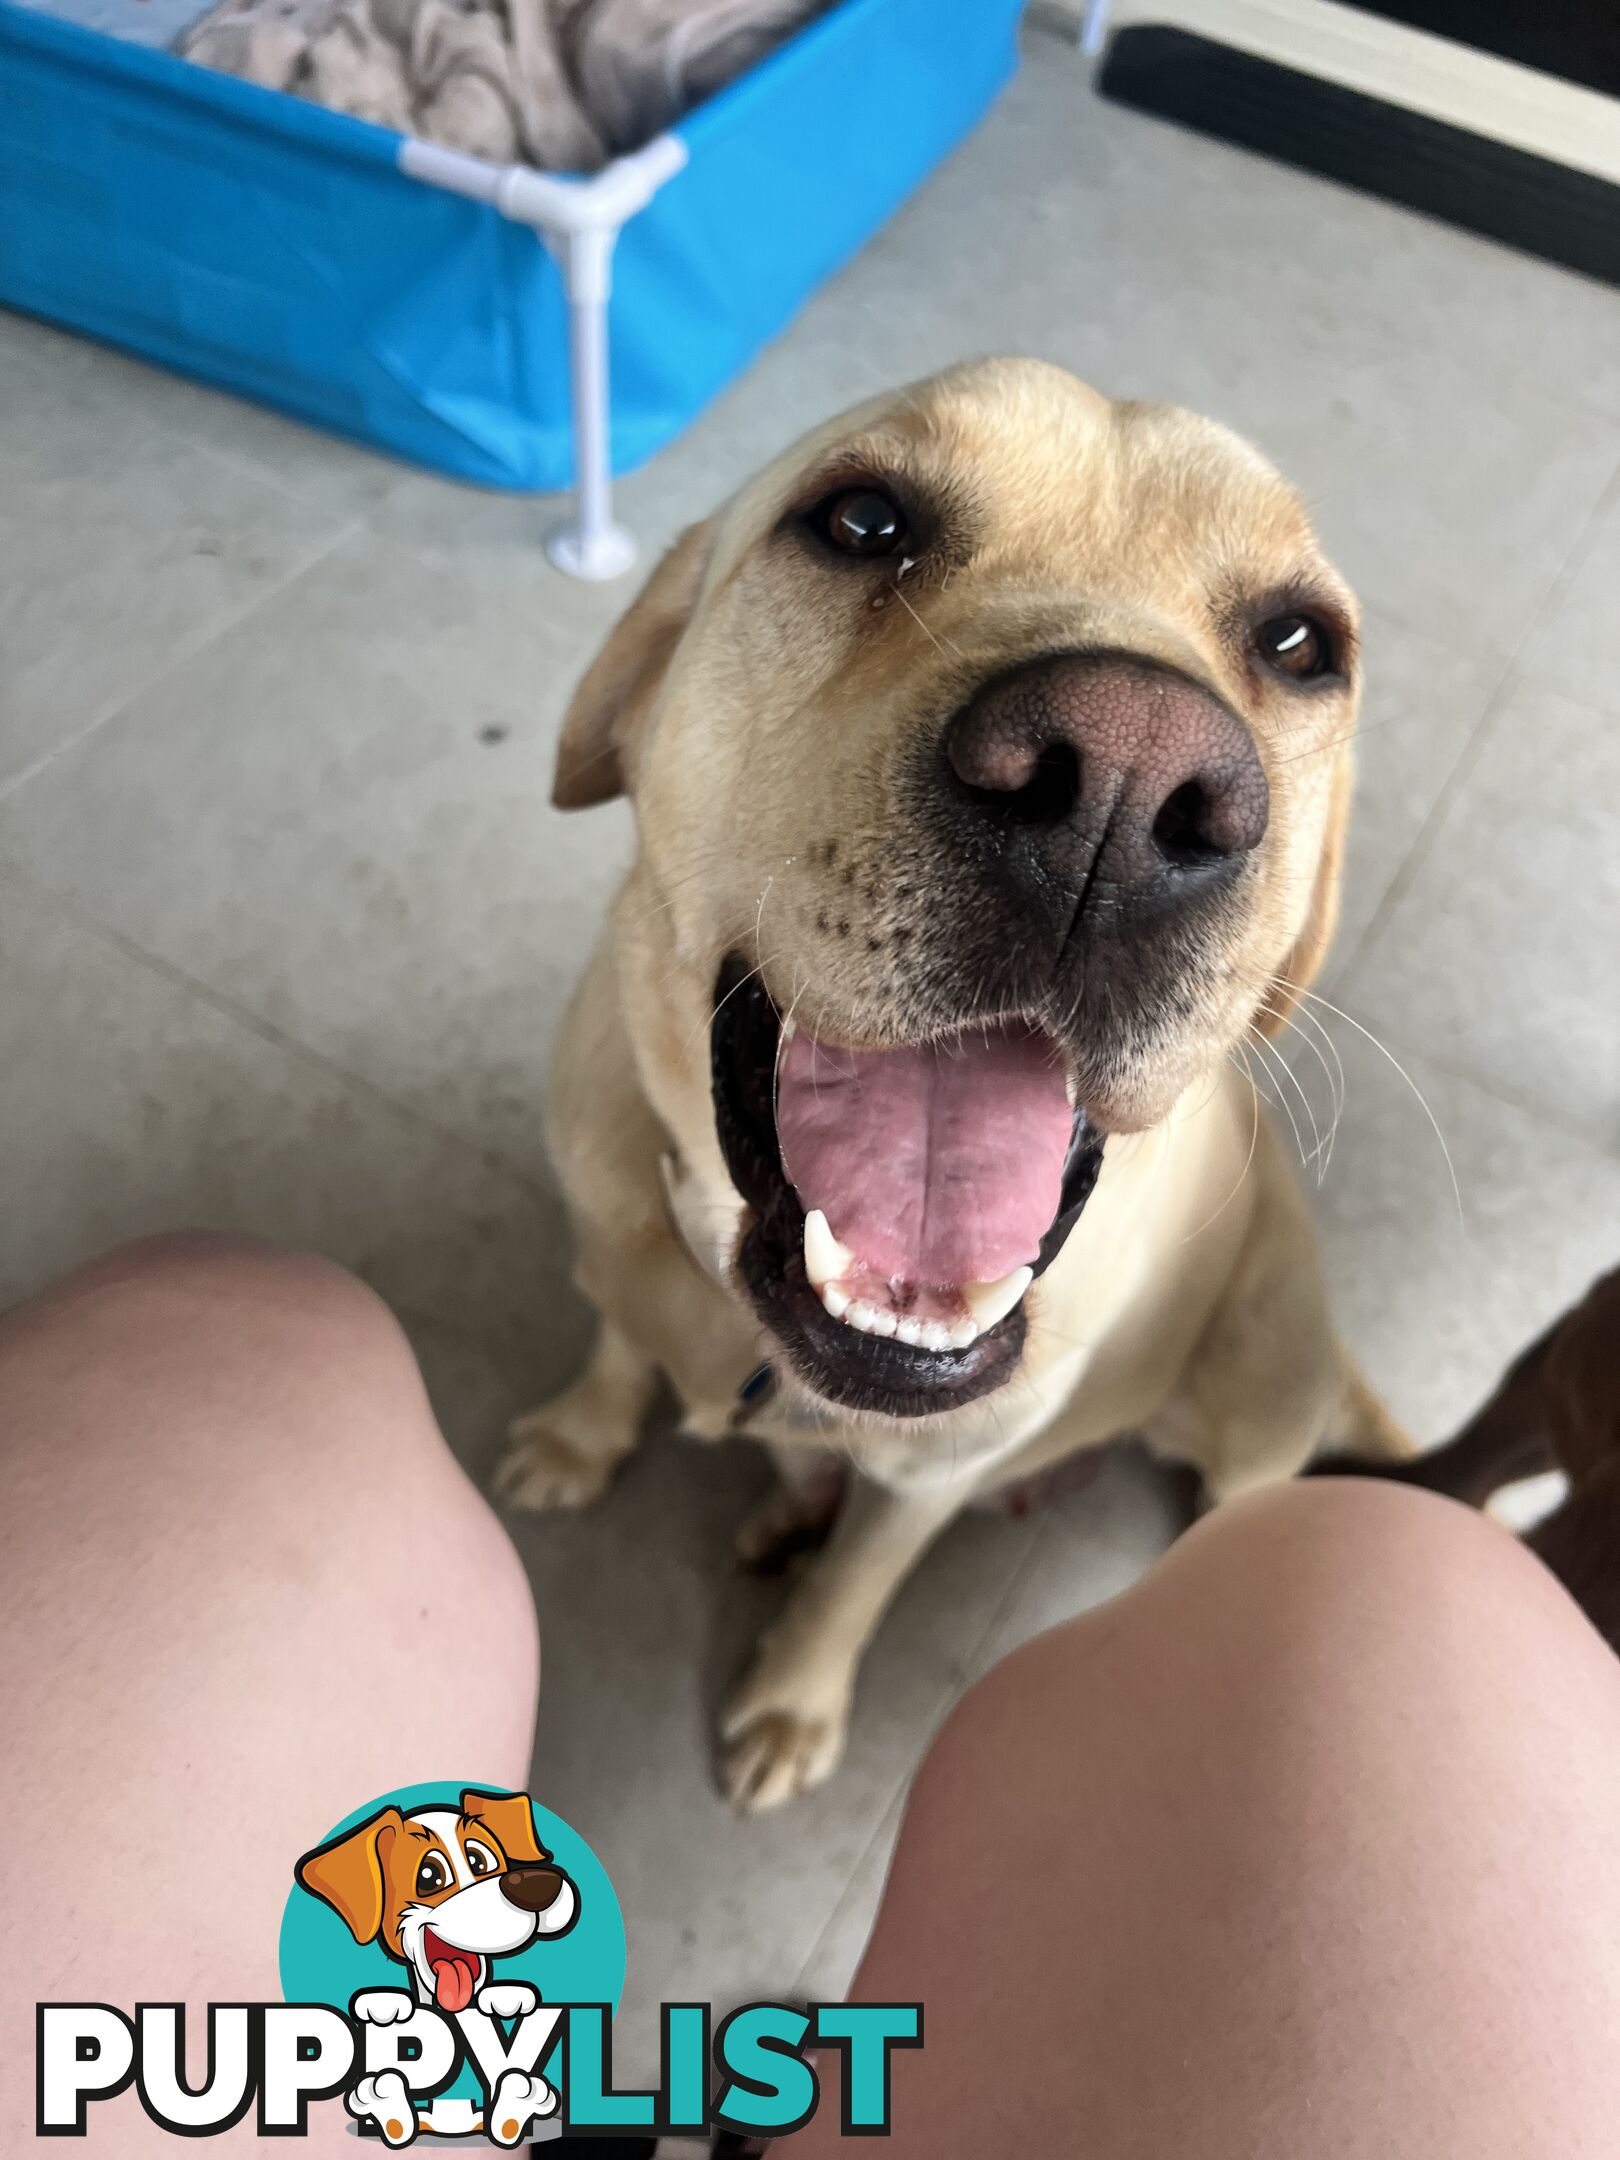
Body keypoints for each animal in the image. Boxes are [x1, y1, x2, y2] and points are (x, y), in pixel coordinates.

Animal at [501, 362, 1416, 1814]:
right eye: (863, 520)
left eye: (1296, 643)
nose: (1124, 780)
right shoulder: (608, 1243)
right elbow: (617, 1344)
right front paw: (583, 1436)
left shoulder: (931, 1479)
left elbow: (858, 1585)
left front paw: (793, 1699)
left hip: (1261, 1390)